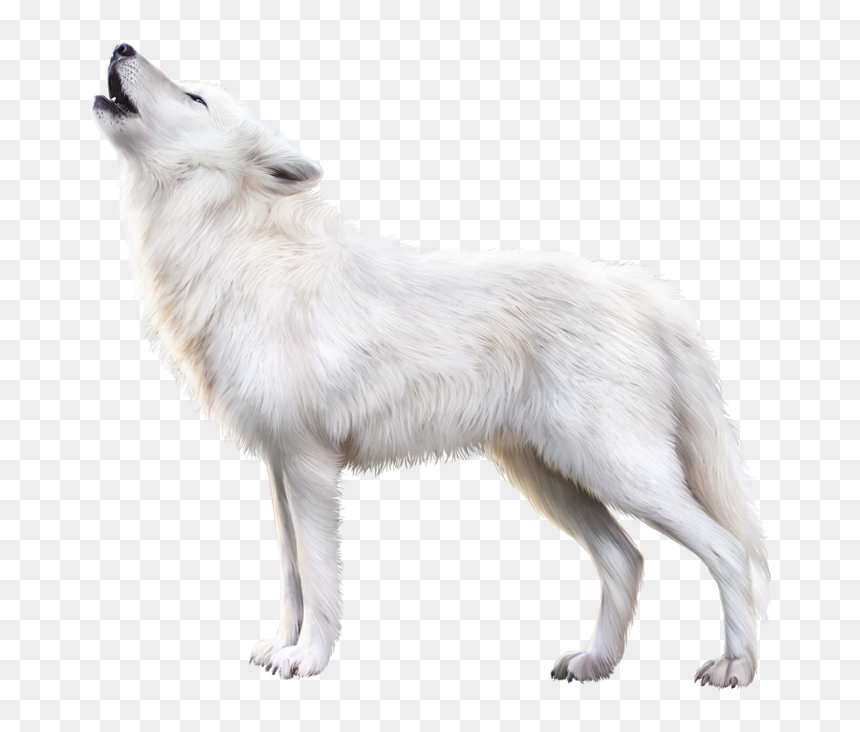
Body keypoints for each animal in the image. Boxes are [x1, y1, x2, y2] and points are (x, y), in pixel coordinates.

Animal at [91, 43, 769, 687]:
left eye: (194, 96)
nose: (121, 46)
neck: (234, 250)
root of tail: (644, 294)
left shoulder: (309, 462)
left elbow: (318, 574)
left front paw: (307, 660)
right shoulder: (278, 464)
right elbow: (291, 579)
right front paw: (281, 648)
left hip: (616, 470)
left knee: (727, 548)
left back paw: (734, 666)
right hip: (553, 475)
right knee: (627, 558)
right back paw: (595, 663)